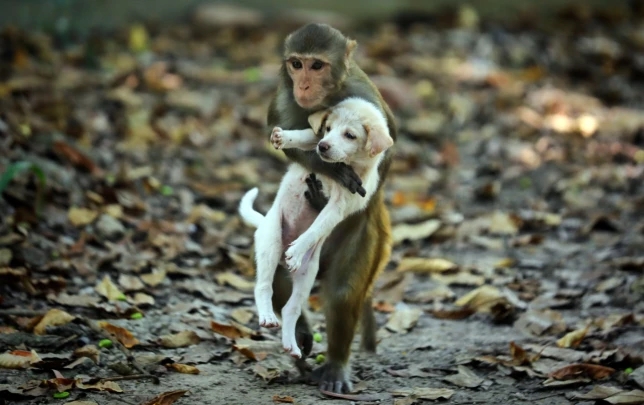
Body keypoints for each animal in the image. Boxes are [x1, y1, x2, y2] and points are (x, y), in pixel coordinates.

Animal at [240, 97, 394, 356]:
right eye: (328, 129)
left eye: (350, 135)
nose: (323, 146)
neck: (347, 165)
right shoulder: (316, 140)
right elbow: (307, 135)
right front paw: (285, 138)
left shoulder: (337, 208)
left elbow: (315, 230)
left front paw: (297, 250)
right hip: (271, 242)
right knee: (263, 286)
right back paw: (268, 316)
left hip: (307, 275)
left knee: (290, 308)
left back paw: (291, 344)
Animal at [262, 22, 398, 392]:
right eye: (296, 64)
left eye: (317, 65)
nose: (304, 85)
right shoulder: (285, 97)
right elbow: (292, 141)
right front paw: (327, 165)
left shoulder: (365, 97)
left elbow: (383, 156)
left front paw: (336, 174)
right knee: (277, 278)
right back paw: (298, 335)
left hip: (367, 237)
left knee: (342, 291)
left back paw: (334, 365)